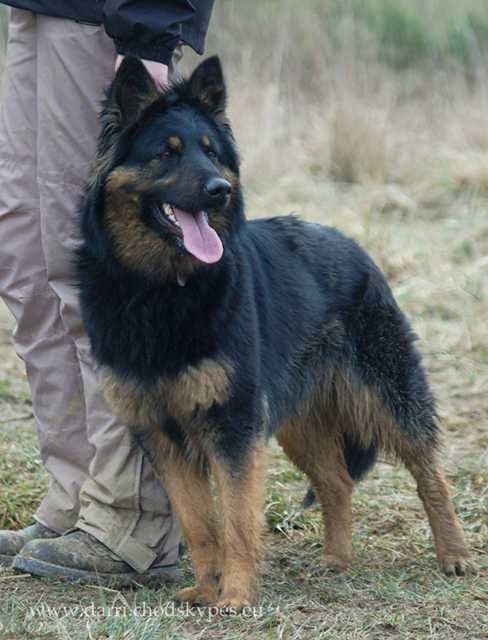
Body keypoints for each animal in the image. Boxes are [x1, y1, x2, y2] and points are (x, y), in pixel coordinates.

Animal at [77, 56, 473, 610]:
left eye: (211, 153)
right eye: (166, 152)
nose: (220, 190)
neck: (160, 287)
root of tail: (350, 243)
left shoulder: (235, 428)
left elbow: (238, 519)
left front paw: (237, 597)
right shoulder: (164, 437)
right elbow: (200, 524)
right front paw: (206, 588)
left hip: (387, 397)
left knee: (429, 472)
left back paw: (454, 554)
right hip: (299, 423)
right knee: (337, 482)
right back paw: (336, 560)